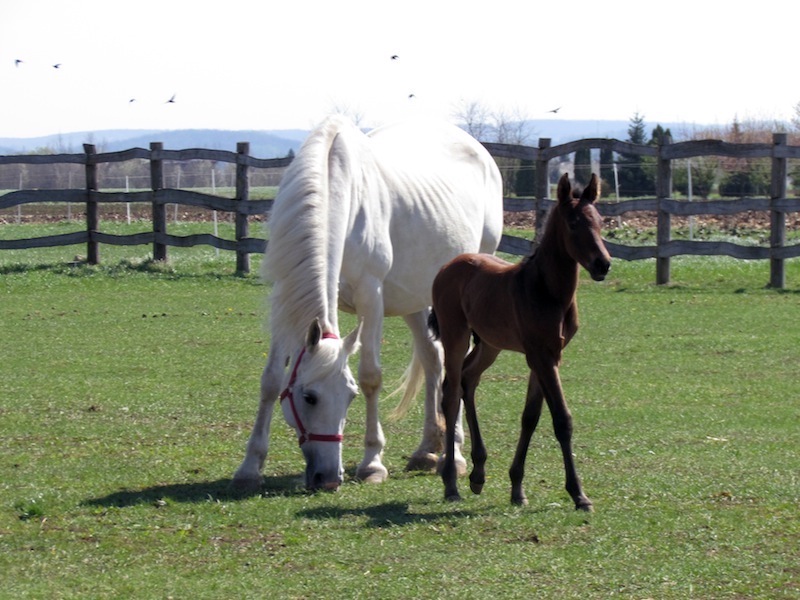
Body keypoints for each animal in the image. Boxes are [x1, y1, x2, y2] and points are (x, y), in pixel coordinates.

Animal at [231, 115, 504, 490]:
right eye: (309, 397)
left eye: (350, 396)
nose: (328, 477)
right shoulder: (285, 299)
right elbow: (271, 379)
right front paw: (249, 467)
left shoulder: (370, 296)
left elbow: (371, 376)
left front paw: (373, 463)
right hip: (415, 299)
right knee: (433, 361)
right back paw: (427, 449)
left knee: (456, 366)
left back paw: (456, 456)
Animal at [428, 172, 608, 510]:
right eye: (573, 222)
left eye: (601, 221)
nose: (603, 264)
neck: (549, 292)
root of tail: (447, 267)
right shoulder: (540, 355)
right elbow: (562, 419)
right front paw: (579, 494)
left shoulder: (548, 354)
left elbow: (530, 417)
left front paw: (517, 488)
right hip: (456, 335)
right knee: (450, 393)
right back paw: (451, 483)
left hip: (490, 344)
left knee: (468, 380)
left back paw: (478, 474)